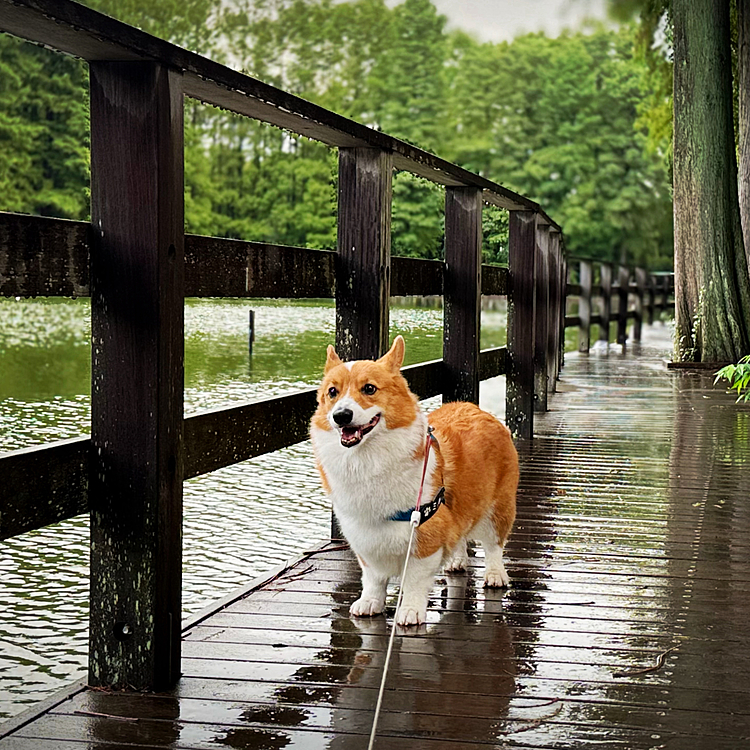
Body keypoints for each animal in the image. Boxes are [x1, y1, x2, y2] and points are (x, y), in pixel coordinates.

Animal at [310, 336, 516, 628]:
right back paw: (456, 561)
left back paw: (496, 574)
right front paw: (369, 602)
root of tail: (476, 408)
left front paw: (409, 611)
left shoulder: (425, 534)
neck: (368, 459)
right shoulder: (363, 536)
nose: (341, 415)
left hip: (499, 508)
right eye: (332, 392)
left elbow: (415, 581)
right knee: (461, 534)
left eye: (369, 388)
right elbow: (372, 578)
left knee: (494, 545)